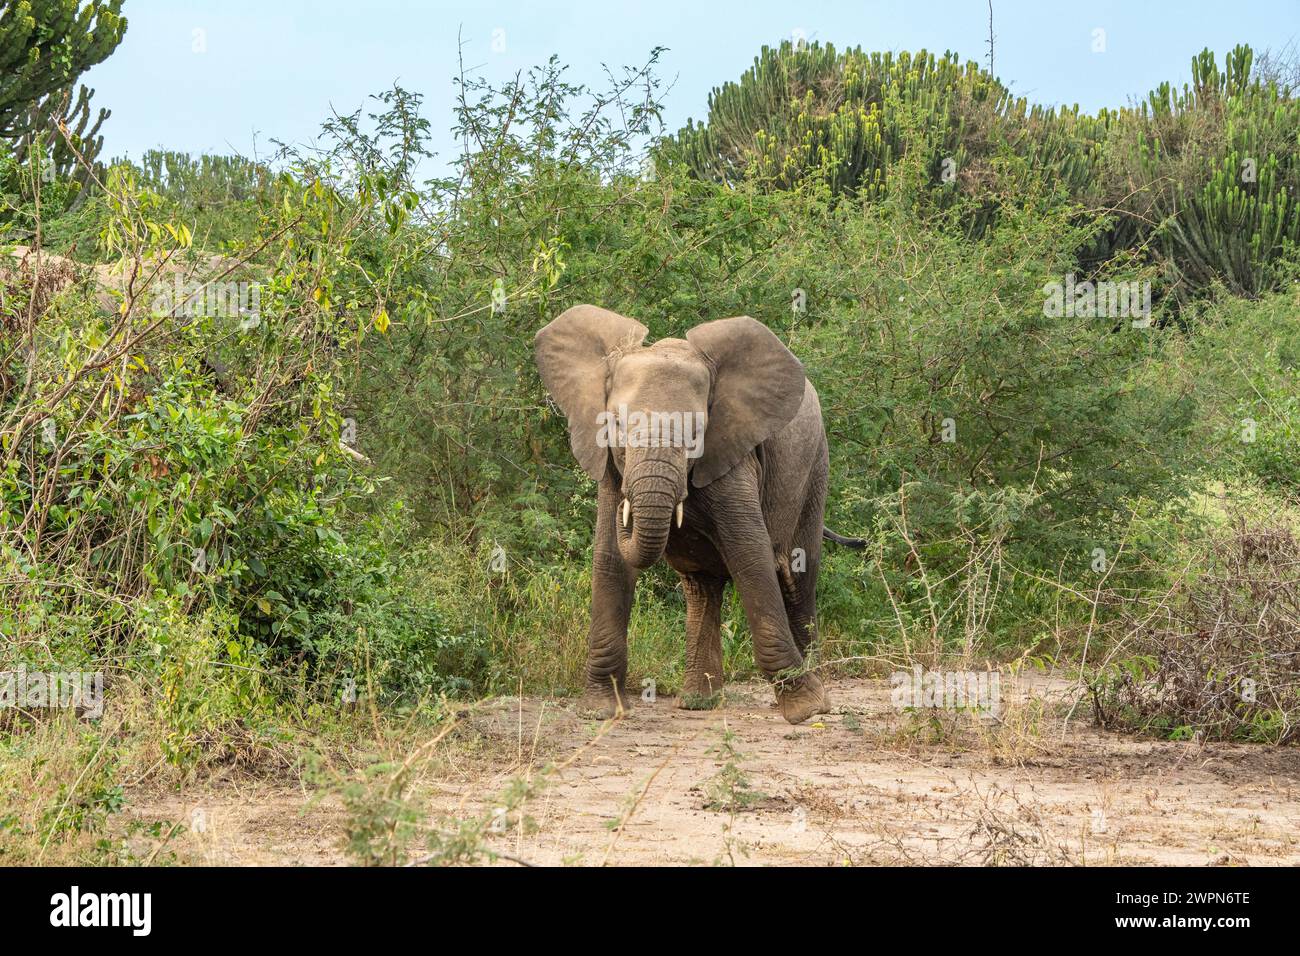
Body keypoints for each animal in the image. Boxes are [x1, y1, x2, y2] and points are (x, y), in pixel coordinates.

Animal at [534, 304, 864, 724]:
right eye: (616, 425)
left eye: (696, 433)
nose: (628, 505)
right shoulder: (609, 468)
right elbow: (609, 561)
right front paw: (600, 710)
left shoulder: (734, 457)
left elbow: (751, 557)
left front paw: (804, 710)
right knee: (702, 587)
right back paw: (698, 702)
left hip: (815, 469)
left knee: (798, 577)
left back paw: (815, 699)